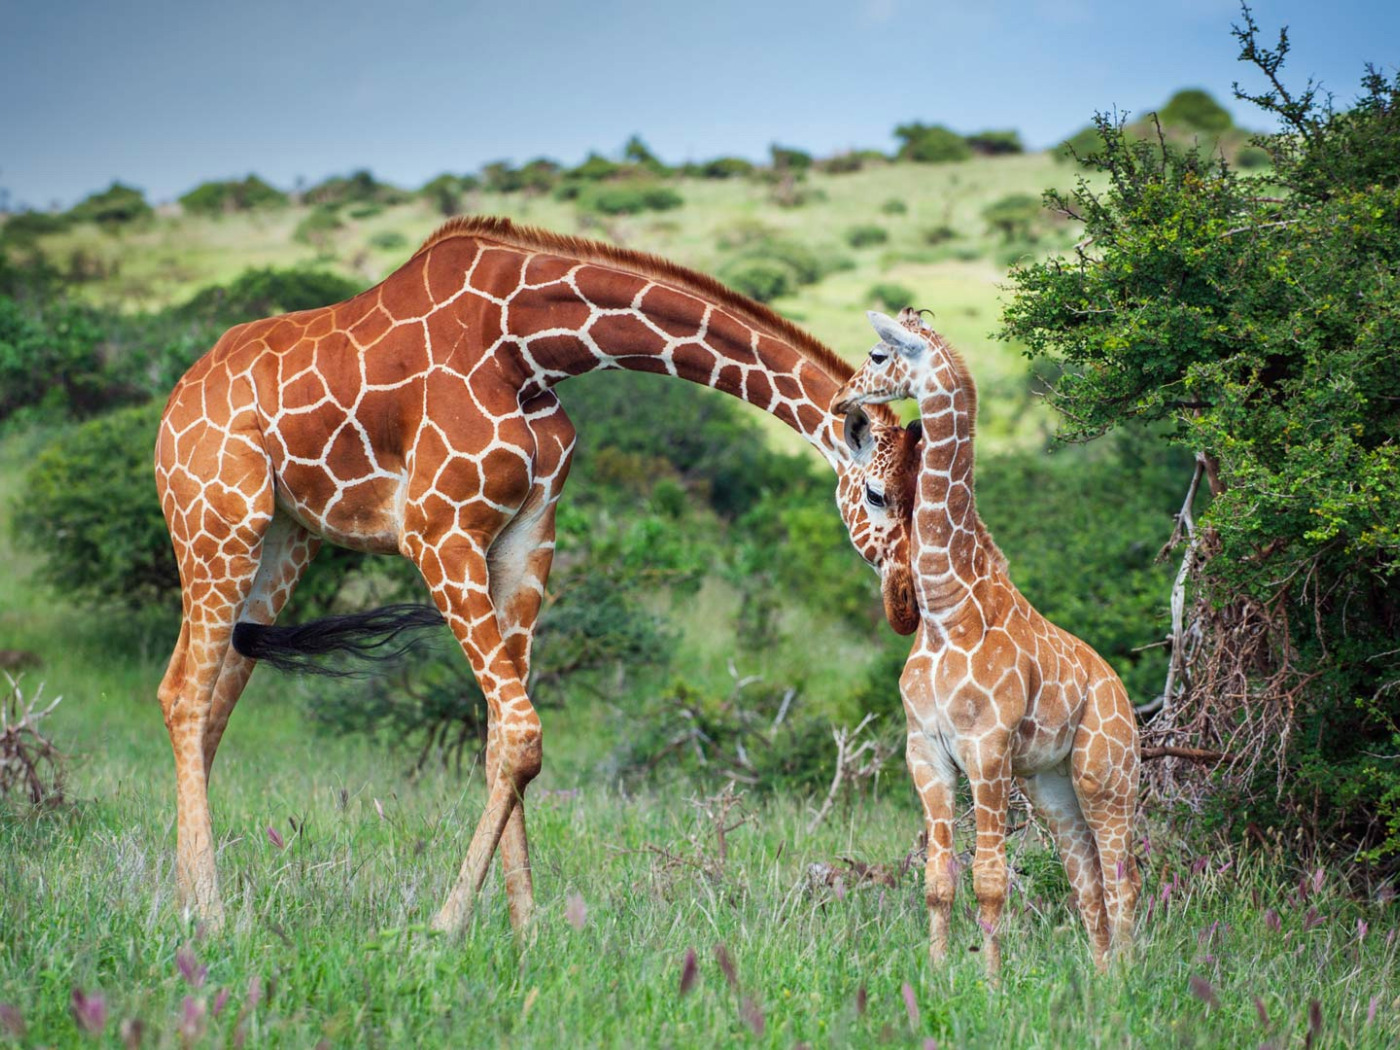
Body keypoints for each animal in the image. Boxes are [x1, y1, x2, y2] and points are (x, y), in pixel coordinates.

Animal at [156, 211, 918, 929]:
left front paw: (526, 931)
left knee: (204, 697)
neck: (528, 348)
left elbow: (504, 737)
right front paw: (446, 925)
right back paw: (212, 913)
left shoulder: (528, 534)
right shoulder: (439, 531)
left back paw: (185, 898)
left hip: (284, 540)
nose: (907, 605)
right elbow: (522, 732)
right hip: (216, 522)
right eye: (879, 495)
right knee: (186, 695)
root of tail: (175, 399)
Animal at [828, 308, 1136, 985]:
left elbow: (991, 880)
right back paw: (1103, 982)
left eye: (878, 354)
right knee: (1087, 881)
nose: (841, 399)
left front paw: (992, 986)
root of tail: (1123, 694)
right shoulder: (926, 751)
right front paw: (938, 973)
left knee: (1123, 879)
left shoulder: (988, 751)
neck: (949, 610)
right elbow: (938, 879)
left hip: (1107, 777)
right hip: (1052, 784)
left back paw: (1131, 978)